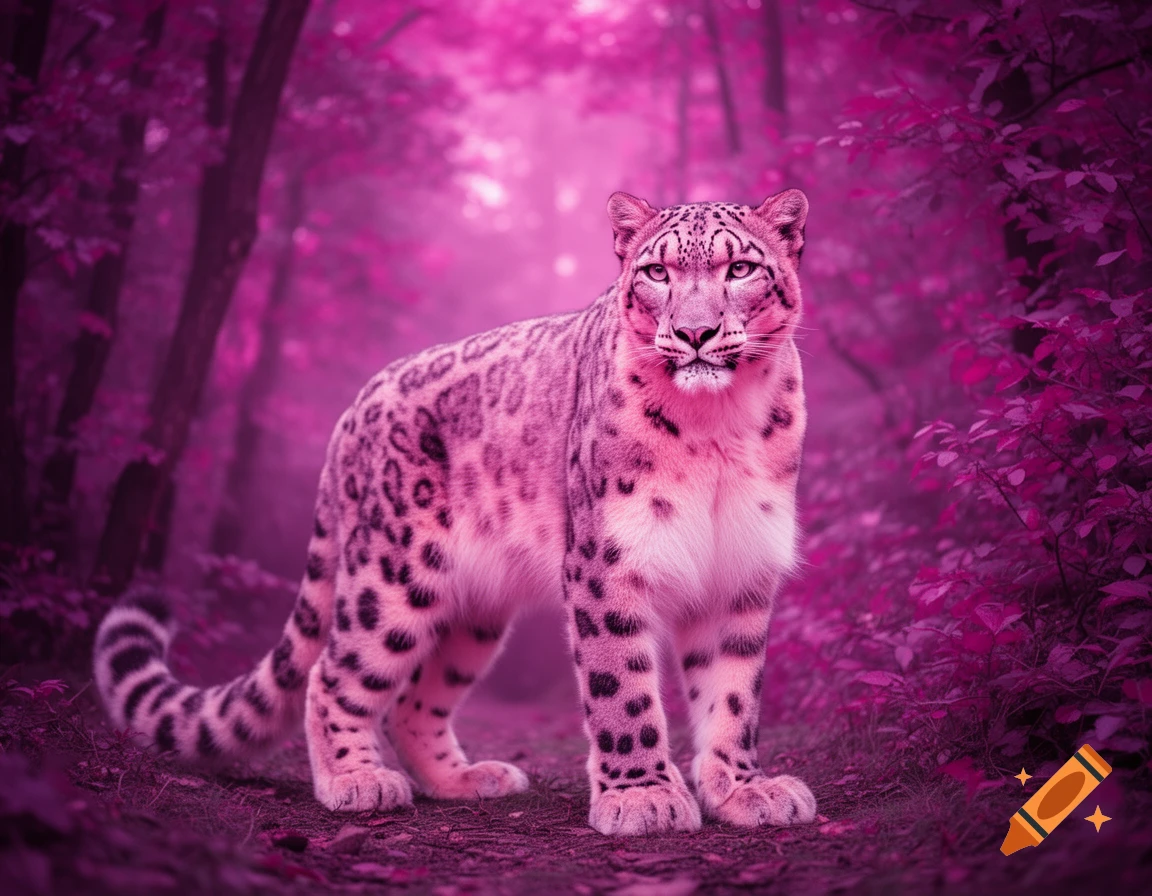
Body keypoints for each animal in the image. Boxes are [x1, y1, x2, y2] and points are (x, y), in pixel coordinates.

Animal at [94, 189, 817, 836]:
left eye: (739, 269)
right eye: (657, 272)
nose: (695, 332)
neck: (717, 429)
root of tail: (352, 411)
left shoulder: (741, 570)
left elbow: (733, 694)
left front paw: (744, 790)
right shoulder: (607, 564)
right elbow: (623, 688)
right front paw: (642, 797)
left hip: (475, 611)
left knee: (415, 698)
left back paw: (466, 779)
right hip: (392, 576)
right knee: (334, 672)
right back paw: (357, 781)